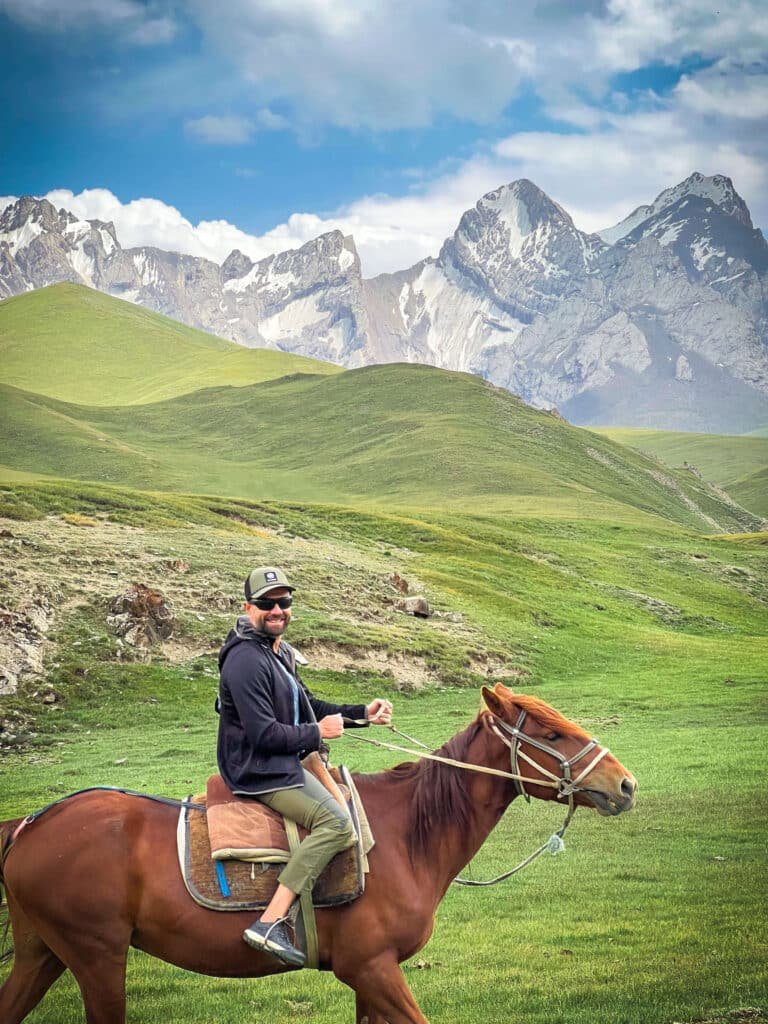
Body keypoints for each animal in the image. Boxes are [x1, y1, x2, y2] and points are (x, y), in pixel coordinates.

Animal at [0, 684, 638, 1019]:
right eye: (551, 733)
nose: (626, 784)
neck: (409, 834)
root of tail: (30, 823)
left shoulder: (370, 977)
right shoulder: (372, 968)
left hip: (43, 954)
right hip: (97, 957)